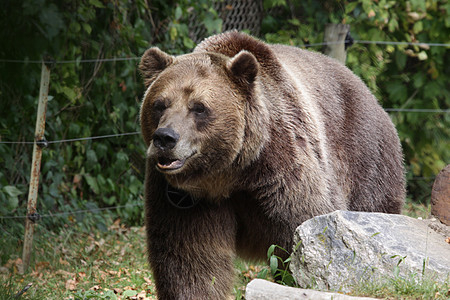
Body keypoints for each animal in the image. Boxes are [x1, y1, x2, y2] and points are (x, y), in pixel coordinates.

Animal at [139, 31, 406, 298]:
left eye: (199, 107)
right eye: (159, 104)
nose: (165, 137)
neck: (231, 174)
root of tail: (367, 90)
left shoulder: (286, 171)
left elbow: (300, 231)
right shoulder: (183, 199)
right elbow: (189, 258)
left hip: (366, 160)